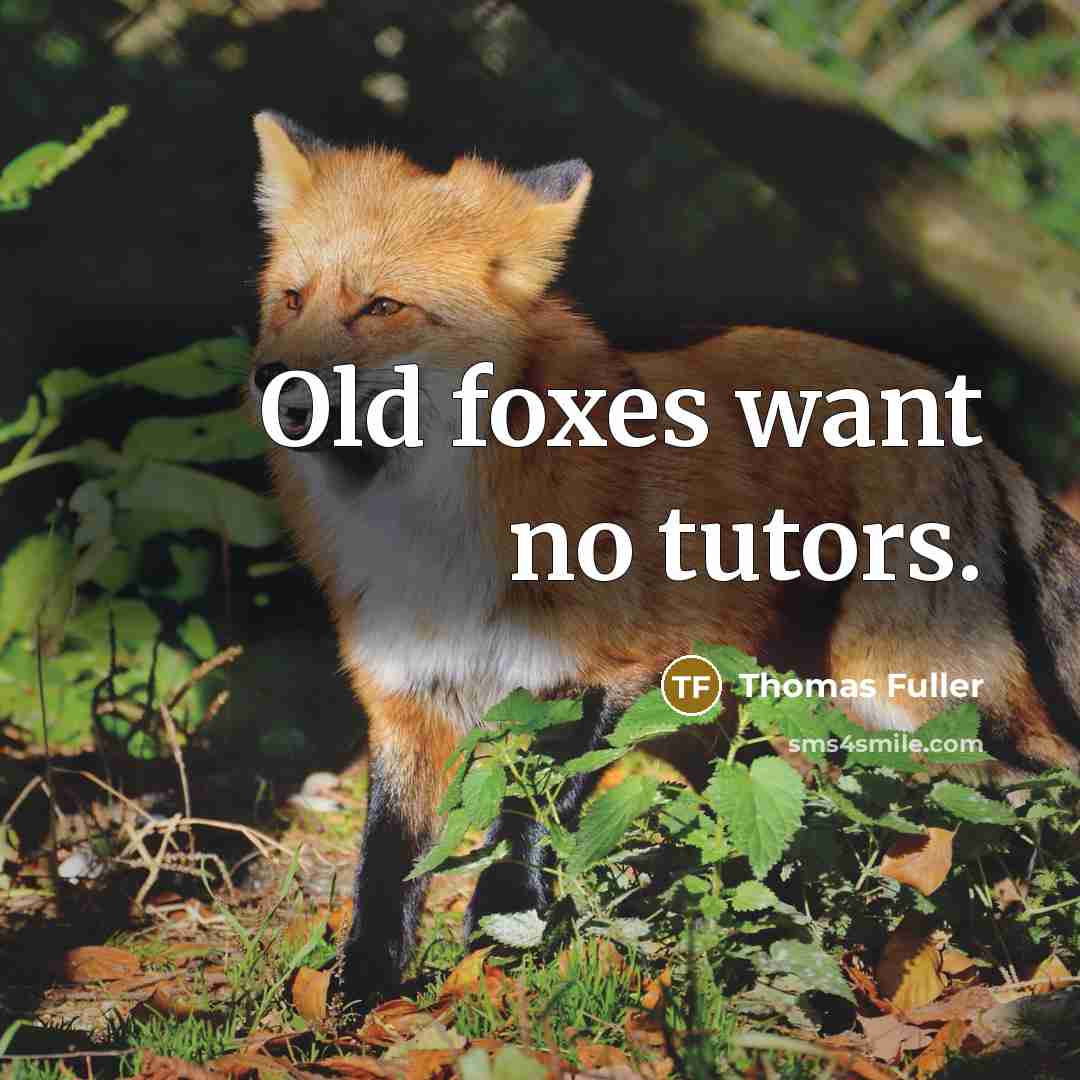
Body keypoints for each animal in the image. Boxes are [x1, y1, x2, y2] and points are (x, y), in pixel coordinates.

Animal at [247, 111, 1080, 1009]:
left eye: (381, 306)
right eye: (292, 298)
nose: (268, 380)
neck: (430, 530)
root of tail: (962, 412)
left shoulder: (599, 675)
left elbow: (530, 820)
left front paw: (503, 942)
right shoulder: (407, 703)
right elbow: (388, 862)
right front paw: (362, 985)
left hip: (924, 696)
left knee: (1037, 774)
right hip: (741, 721)